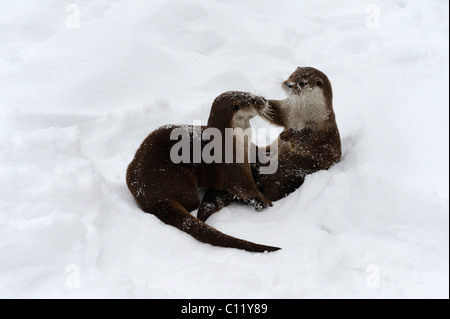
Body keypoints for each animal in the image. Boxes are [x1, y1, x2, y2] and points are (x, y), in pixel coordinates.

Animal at [127, 91, 282, 254]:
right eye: (252, 100)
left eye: (250, 93)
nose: (264, 99)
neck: (234, 141)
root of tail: (150, 198)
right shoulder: (234, 167)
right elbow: (245, 187)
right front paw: (266, 201)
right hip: (178, 178)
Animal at [197, 67, 342, 221]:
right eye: (292, 75)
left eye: (302, 83)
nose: (288, 84)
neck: (301, 115)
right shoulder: (287, 111)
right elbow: (275, 111)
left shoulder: (321, 131)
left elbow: (308, 140)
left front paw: (288, 134)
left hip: (287, 171)